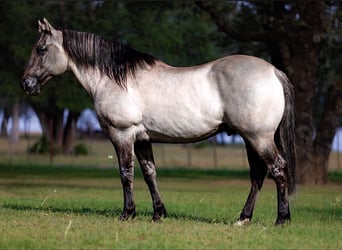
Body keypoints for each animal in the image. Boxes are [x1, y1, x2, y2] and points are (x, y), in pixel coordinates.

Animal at [21, 18, 296, 226]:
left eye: (41, 49)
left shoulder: (122, 134)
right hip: (250, 139)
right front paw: (158, 214)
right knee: (258, 175)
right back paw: (243, 218)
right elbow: (149, 173)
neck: (116, 79)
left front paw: (127, 213)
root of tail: (273, 71)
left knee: (278, 169)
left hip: (258, 137)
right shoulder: (142, 139)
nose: (26, 84)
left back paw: (281, 219)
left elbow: (126, 173)